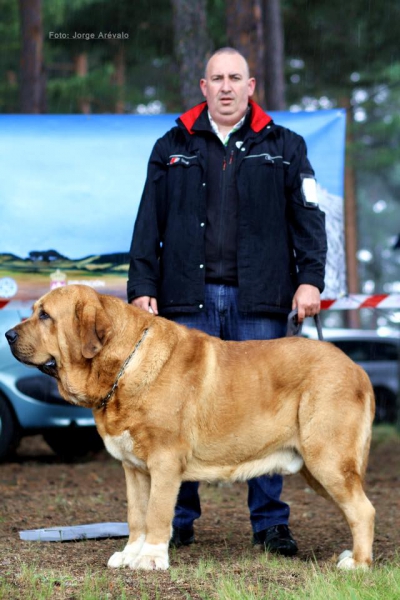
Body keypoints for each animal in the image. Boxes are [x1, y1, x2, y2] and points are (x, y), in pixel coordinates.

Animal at [5, 286, 376, 572]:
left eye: (45, 316)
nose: (8, 335)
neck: (124, 365)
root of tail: (357, 368)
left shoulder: (164, 462)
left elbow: (157, 513)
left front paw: (151, 559)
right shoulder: (133, 469)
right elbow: (136, 515)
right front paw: (129, 555)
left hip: (327, 459)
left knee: (363, 510)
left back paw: (358, 564)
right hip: (319, 469)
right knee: (354, 509)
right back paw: (352, 554)